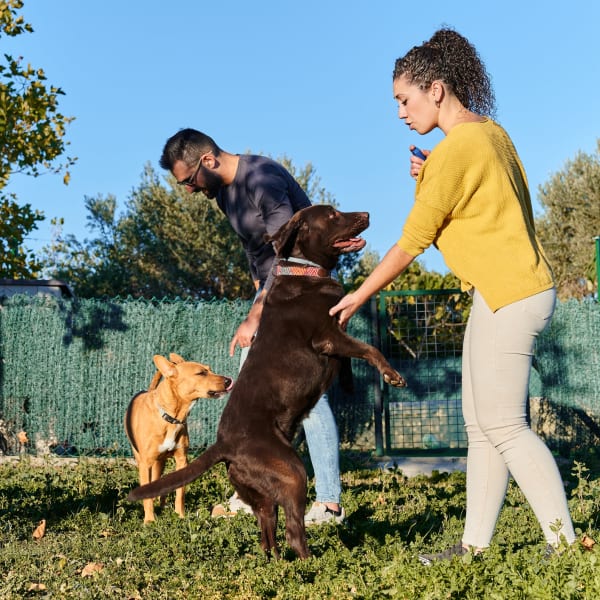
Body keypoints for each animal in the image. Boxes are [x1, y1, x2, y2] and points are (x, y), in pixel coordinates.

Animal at [124, 354, 232, 524]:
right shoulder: (145, 464)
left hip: (160, 463)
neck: (171, 417)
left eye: (210, 369)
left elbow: (180, 492)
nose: (228, 380)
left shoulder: (182, 460)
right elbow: (147, 497)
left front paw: (180, 516)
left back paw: (163, 506)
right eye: (201, 373)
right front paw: (149, 521)